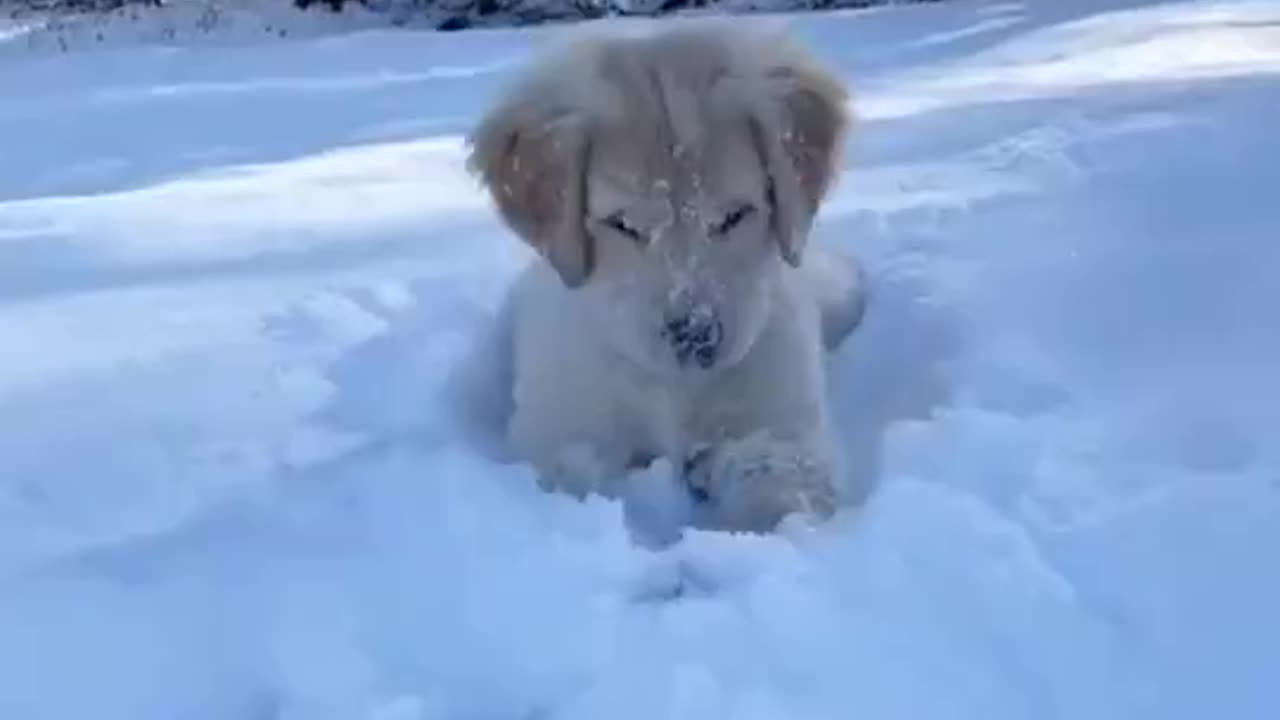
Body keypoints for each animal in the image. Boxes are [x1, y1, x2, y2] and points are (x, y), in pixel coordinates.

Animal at [465, 20, 865, 532]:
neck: (674, 391)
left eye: (734, 216)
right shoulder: (562, 429)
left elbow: (779, 492)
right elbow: (577, 478)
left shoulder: (778, 428)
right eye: (624, 225)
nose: (694, 336)